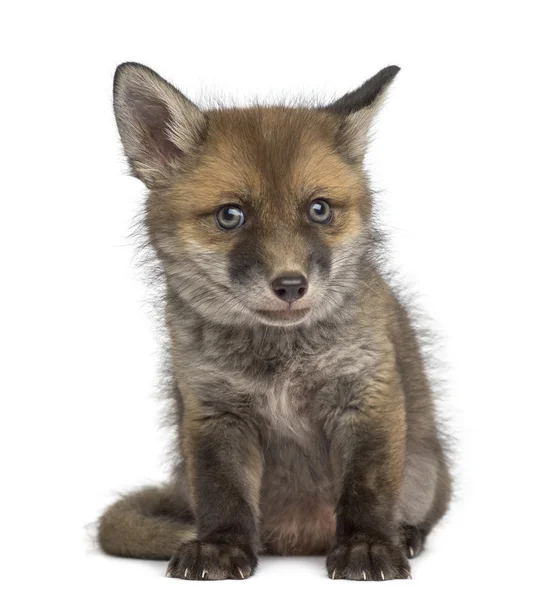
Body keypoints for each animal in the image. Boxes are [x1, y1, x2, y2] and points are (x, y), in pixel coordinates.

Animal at [97, 62, 450, 580]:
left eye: (319, 210)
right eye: (231, 216)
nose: (290, 285)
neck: (281, 358)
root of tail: (298, 541)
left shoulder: (366, 394)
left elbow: (365, 488)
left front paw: (367, 546)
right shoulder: (214, 409)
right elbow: (223, 493)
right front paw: (220, 547)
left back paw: (405, 535)